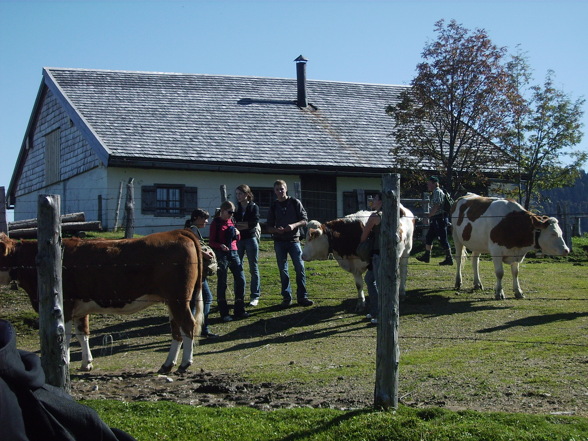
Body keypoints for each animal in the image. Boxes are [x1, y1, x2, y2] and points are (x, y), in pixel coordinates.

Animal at [0, 229, 204, 372]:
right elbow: (82, 334)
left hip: (179, 299)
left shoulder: (65, 305)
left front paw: (64, 362)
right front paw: (86, 363)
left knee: (188, 325)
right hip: (171, 301)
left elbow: (65, 336)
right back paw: (167, 365)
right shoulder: (79, 309)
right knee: (176, 329)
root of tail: (177, 232)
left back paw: (185, 364)